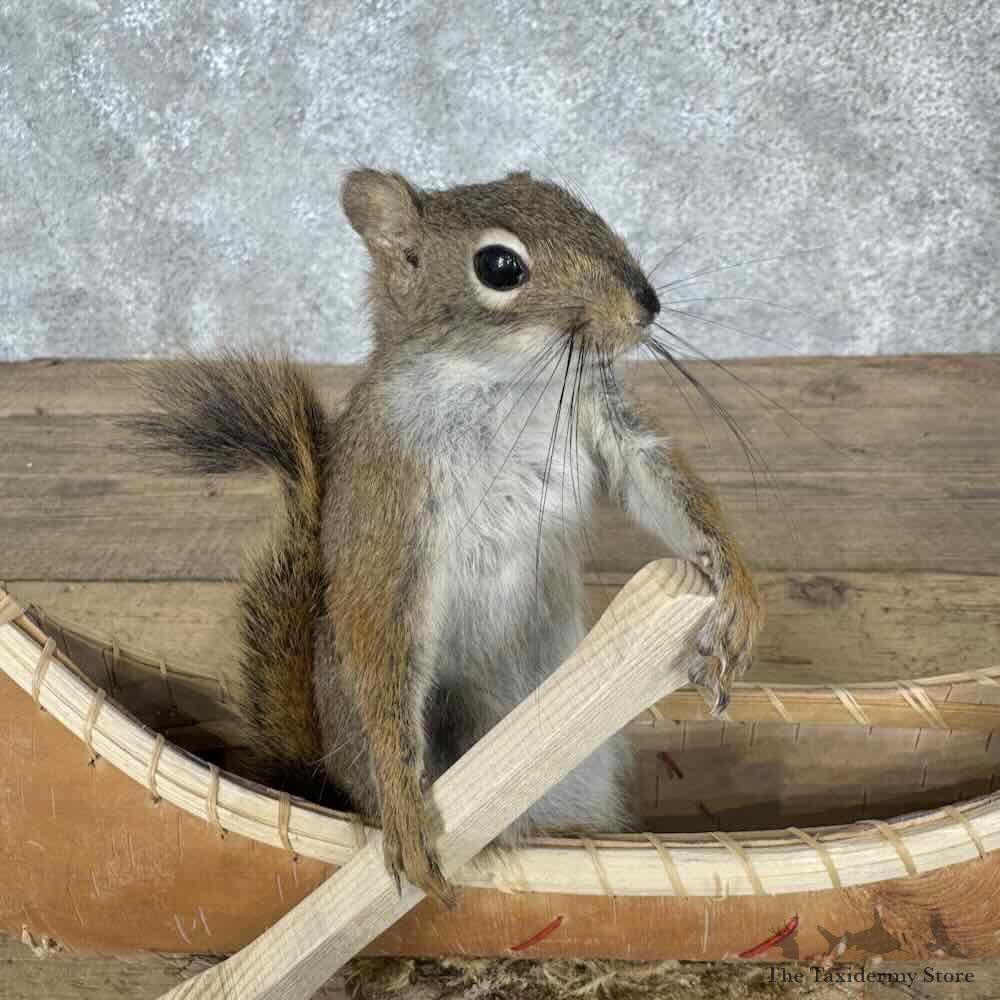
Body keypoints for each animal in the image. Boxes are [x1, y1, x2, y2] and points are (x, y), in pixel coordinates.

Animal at [134, 168, 763, 906]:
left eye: (579, 205)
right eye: (499, 266)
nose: (647, 304)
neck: (503, 383)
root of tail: (328, 774)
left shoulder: (601, 414)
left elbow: (657, 479)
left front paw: (738, 594)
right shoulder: (391, 491)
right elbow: (380, 622)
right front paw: (407, 810)